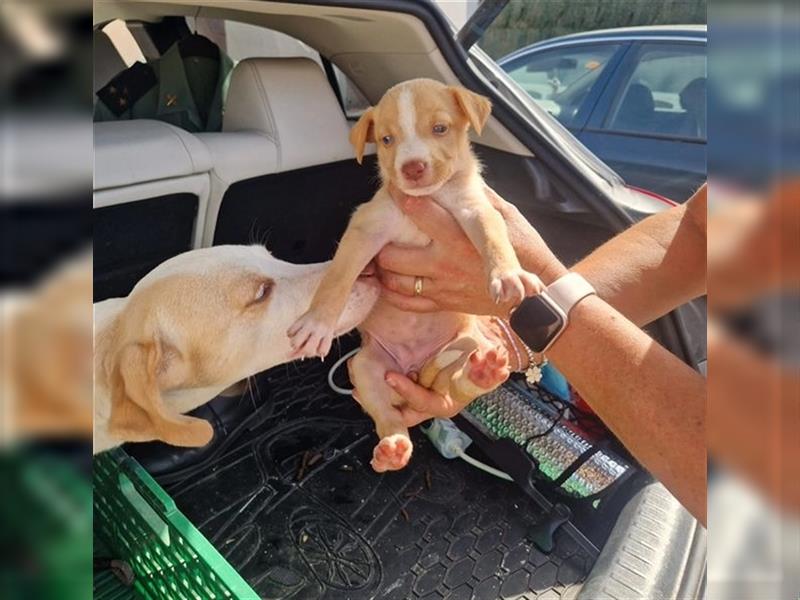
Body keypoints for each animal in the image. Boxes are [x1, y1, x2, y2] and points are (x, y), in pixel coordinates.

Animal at [288, 79, 536, 474]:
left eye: (440, 128)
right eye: (387, 140)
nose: (413, 167)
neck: (430, 197)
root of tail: (415, 370)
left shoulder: (476, 209)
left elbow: (494, 236)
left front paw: (509, 274)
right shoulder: (365, 230)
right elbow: (337, 279)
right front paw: (317, 325)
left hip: (467, 346)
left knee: (455, 388)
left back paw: (483, 373)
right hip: (366, 367)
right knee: (386, 414)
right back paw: (392, 449)